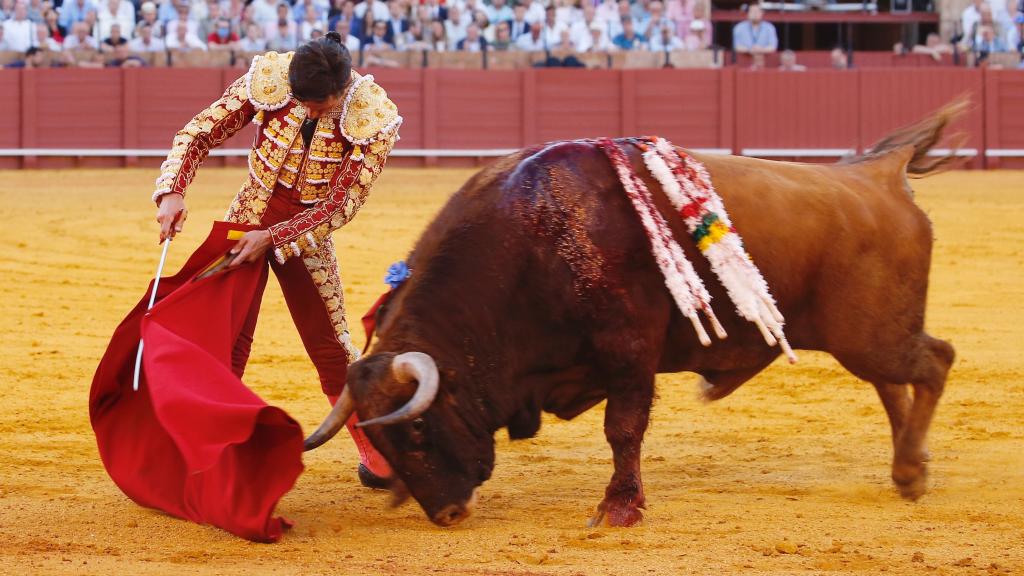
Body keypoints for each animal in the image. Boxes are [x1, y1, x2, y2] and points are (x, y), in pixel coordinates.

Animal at [301, 101, 958, 524]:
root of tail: (879, 174)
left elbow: (622, 429)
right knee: (892, 384)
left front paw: (619, 506)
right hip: (864, 337)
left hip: (872, 334)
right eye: (378, 440)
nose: (447, 512)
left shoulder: (630, 352)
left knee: (933, 362)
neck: (534, 236)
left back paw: (912, 472)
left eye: (416, 428)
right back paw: (908, 471)